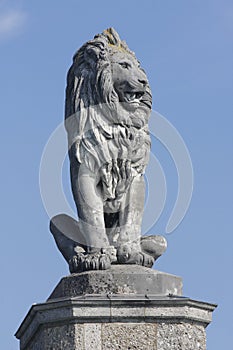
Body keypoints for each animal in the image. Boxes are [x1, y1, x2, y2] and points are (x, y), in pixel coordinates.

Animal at [50, 28, 167, 274]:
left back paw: (137, 257)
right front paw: (96, 258)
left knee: (159, 240)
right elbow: (92, 215)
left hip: (158, 239)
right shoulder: (83, 170)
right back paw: (82, 259)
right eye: (123, 65)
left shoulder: (136, 174)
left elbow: (132, 217)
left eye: (138, 67)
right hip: (58, 221)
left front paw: (133, 255)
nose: (144, 81)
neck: (116, 123)